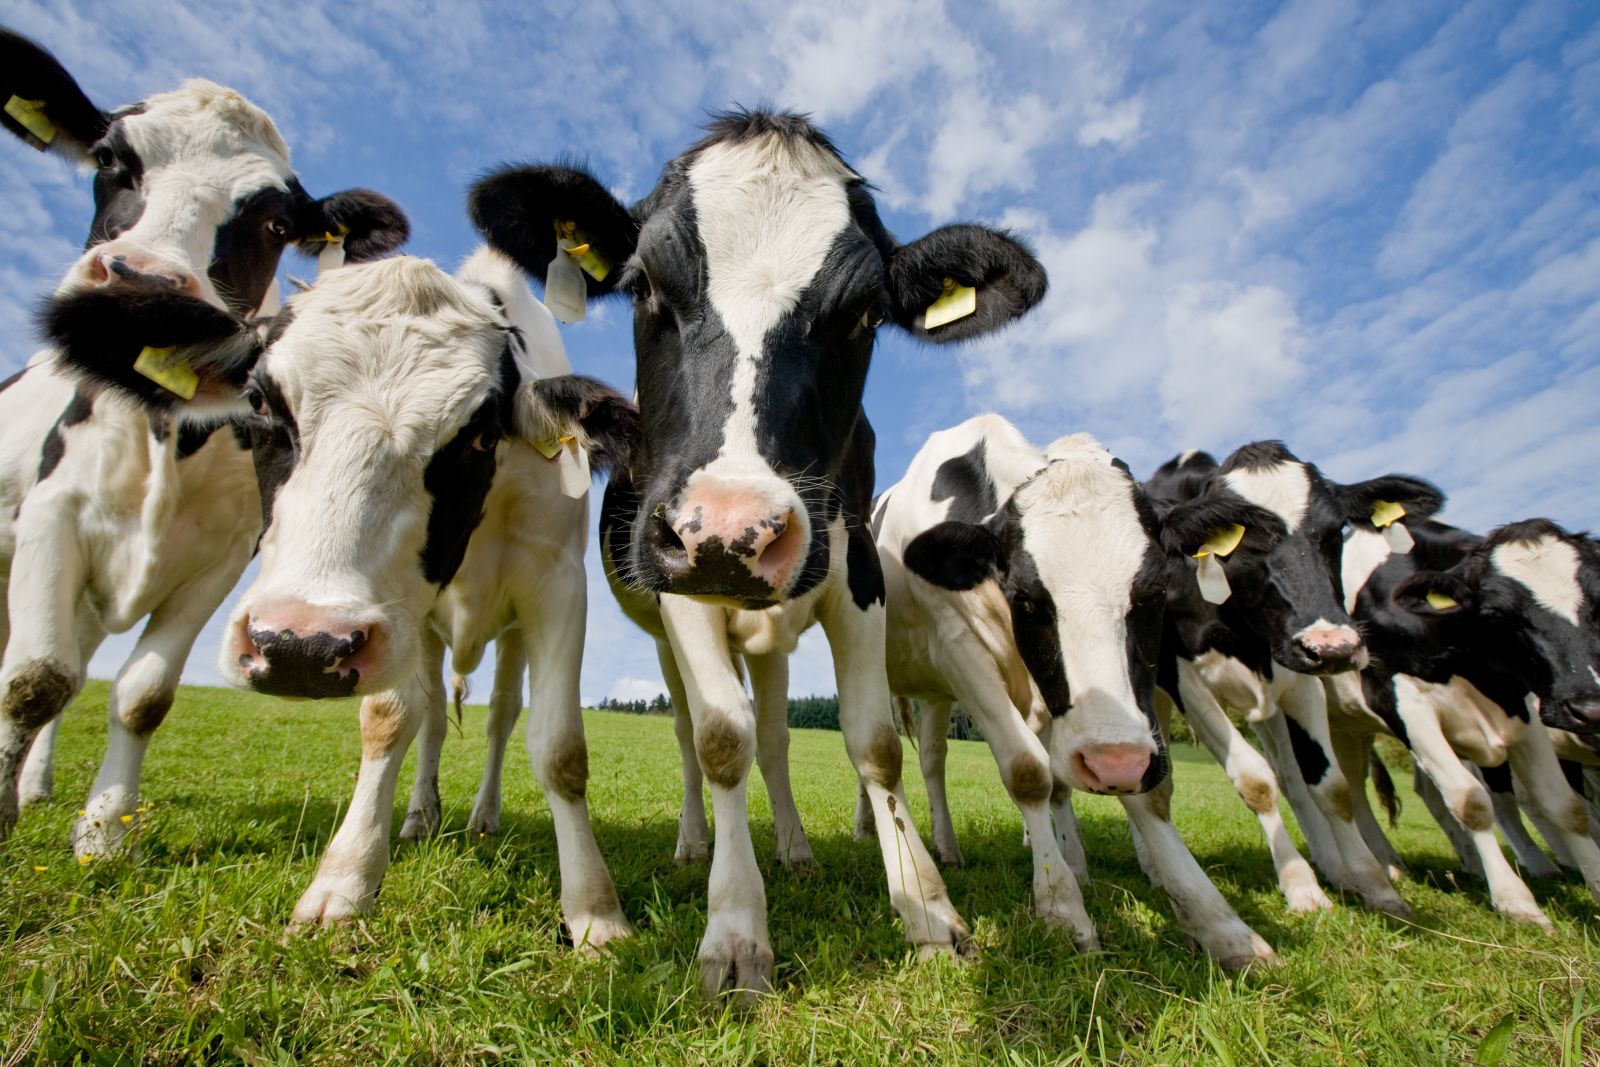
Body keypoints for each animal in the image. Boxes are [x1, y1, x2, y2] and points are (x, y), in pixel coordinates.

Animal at [0, 29, 406, 857]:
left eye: (276, 225)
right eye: (109, 160)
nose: (141, 282)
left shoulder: (221, 559)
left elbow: (141, 692)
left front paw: (104, 832)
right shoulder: (52, 516)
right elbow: (32, 678)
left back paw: (38, 786)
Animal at [467, 110, 1056, 1004]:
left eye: (862, 314)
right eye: (644, 285)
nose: (732, 528)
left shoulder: (857, 576)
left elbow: (871, 744)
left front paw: (925, 907)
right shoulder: (681, 582)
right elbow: (719, 739)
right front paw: (737, 929)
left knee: (776, 734)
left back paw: (796, 847)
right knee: (690, 732)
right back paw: (694, 842)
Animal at [870, 415, 1280, 966]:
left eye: (1154, 591)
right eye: (1026, 597)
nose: (1112, 762)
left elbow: (1145, 795)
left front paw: (1221, 924)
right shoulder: (959, 647)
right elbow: (1028, 773)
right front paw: (1063, 910)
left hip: (940, 695)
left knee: (933, 757)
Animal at [1318, 518, 1600, 927]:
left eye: (1595, 603)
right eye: (1497, 614)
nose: (1588, 707)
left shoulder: (1524, 710)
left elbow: (1565, 806)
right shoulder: (1405, 703)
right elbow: (1471, 801)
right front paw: (1516, 901)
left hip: (1351, 727)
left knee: (1357, 787)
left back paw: (1400, 863)